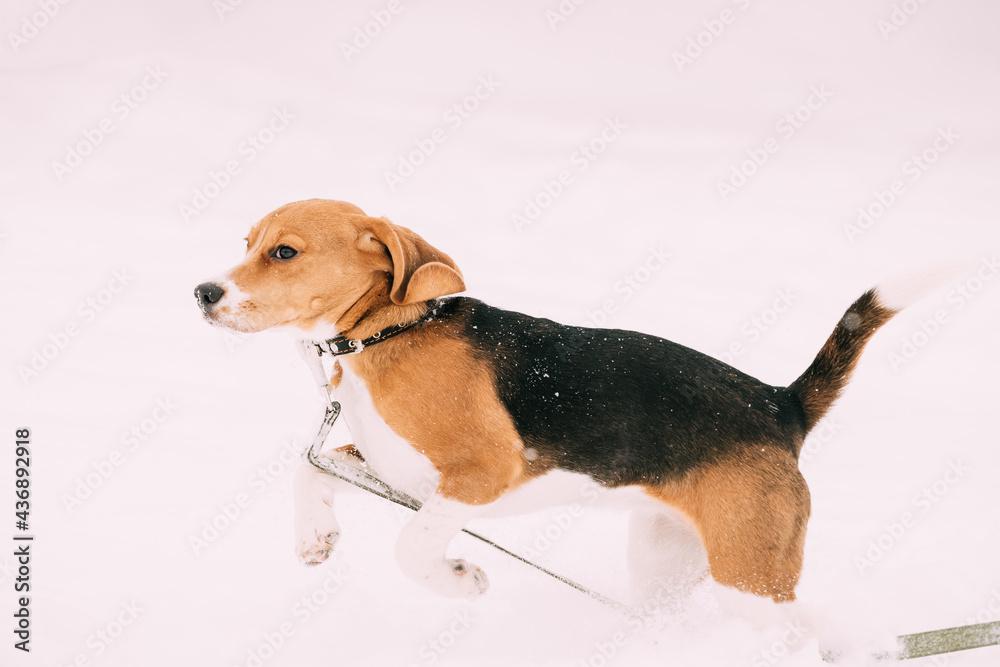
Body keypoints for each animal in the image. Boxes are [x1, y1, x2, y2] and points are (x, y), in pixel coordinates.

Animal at [199, 198, 916, 604]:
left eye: (283, 251)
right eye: (246, 244)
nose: (202, 291)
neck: (389, 331)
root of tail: (778, 403)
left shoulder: (480, 473)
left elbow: (411, 546)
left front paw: (458, 580)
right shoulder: (388, 466)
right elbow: (307, 474)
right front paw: (314, 537)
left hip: (753, 578)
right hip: (666, 561)